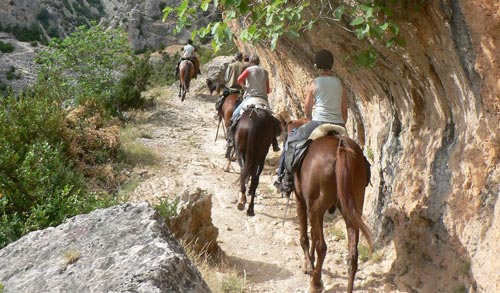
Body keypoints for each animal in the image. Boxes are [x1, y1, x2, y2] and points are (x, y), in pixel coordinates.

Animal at [288, 120, 374, 290]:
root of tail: (341, 146)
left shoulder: (301, 200)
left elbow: (305, 236)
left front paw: (308, 266)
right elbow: (313, 233)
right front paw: (311, 264)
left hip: (316, 207)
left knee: (322, 246)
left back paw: (315, 283)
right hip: (352, 209)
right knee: (352, 254)